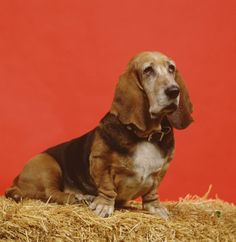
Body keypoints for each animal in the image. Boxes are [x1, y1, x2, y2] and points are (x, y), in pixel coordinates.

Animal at [5, 52, 193, 218]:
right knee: (51, 193)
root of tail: (16, 180)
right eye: (148, 70)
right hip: (48, 164)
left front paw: (155, 207)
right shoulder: (100, 162)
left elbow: (152, 192)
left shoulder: (161, 170)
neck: (145, 136)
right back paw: (79, 197)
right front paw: (104, 206)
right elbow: (107, 188)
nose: (174, 91)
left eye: (171, 68)